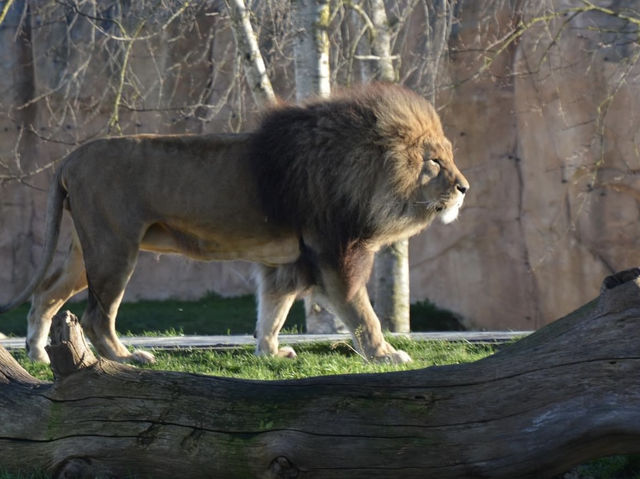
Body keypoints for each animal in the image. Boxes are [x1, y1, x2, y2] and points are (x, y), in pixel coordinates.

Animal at [0, 84, 470, 366]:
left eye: (448, 156)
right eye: (433, 161)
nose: (465, 188)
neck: (360, 170)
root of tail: (71, 157)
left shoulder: (286, 263)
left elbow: (273, 312)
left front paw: (270, 354)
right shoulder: (335, 256)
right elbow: (363, 313)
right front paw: (386, 354)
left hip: (87, 252)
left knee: (45, 294)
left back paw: (39, 355)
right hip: (115, 249)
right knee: (97, 315)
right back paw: (126, 358)